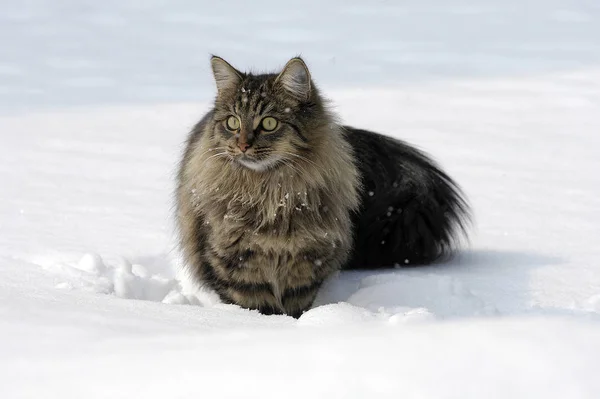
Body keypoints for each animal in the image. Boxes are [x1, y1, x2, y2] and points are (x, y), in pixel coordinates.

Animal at [176, 56, 472, 318]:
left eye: (269, 123)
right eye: (232, 122)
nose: (242, 145)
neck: (271, 193)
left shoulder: (306, 262)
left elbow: (295, 305)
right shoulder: (233, 261)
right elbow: (252, 304)